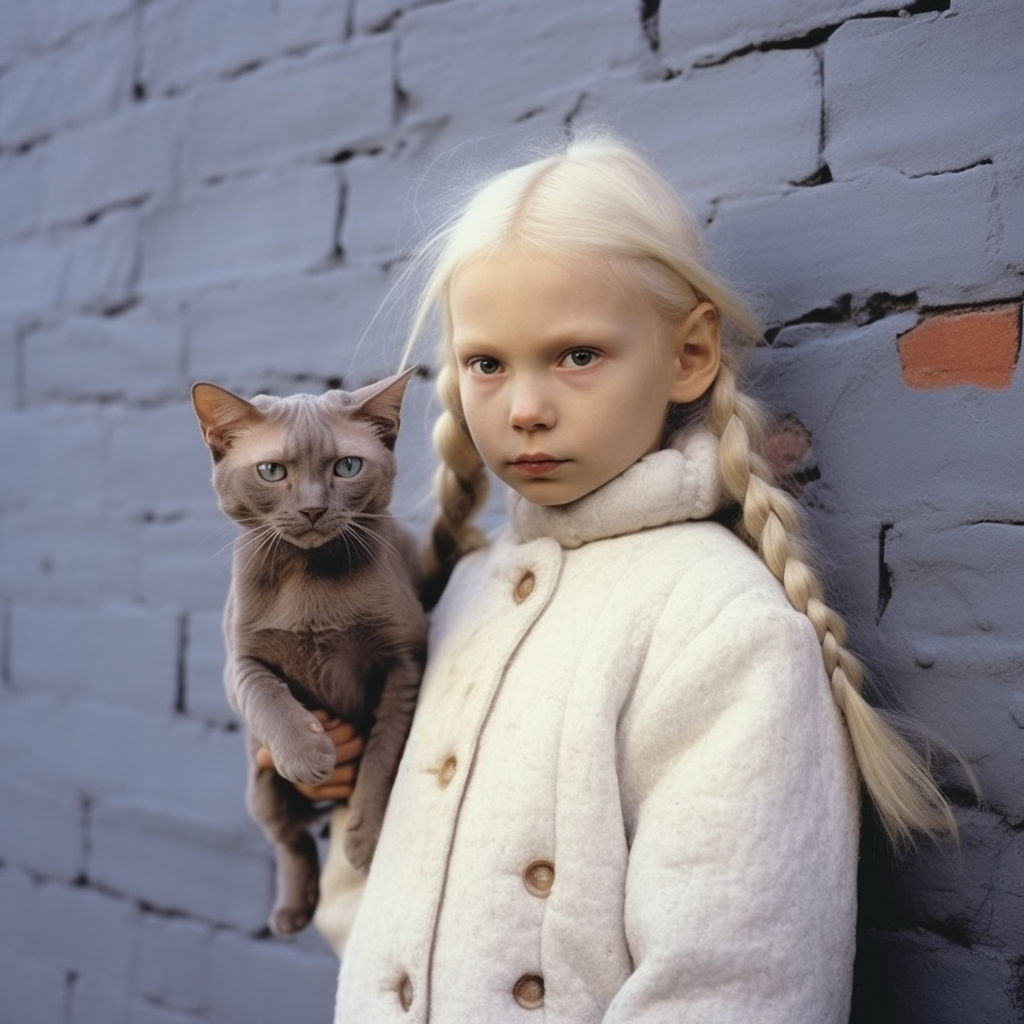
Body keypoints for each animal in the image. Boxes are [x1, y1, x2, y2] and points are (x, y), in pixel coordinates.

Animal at [191, 368, 423, 937]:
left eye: (347, 466)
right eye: (271, 471)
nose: (315, 508)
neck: (309, 574)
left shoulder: (405, 659)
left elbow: (383, 752)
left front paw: (364, 840)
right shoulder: (239, 661)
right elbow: (266, 694)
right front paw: (305, 752)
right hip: (261, 789)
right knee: (290, 841)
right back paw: (292, 911)